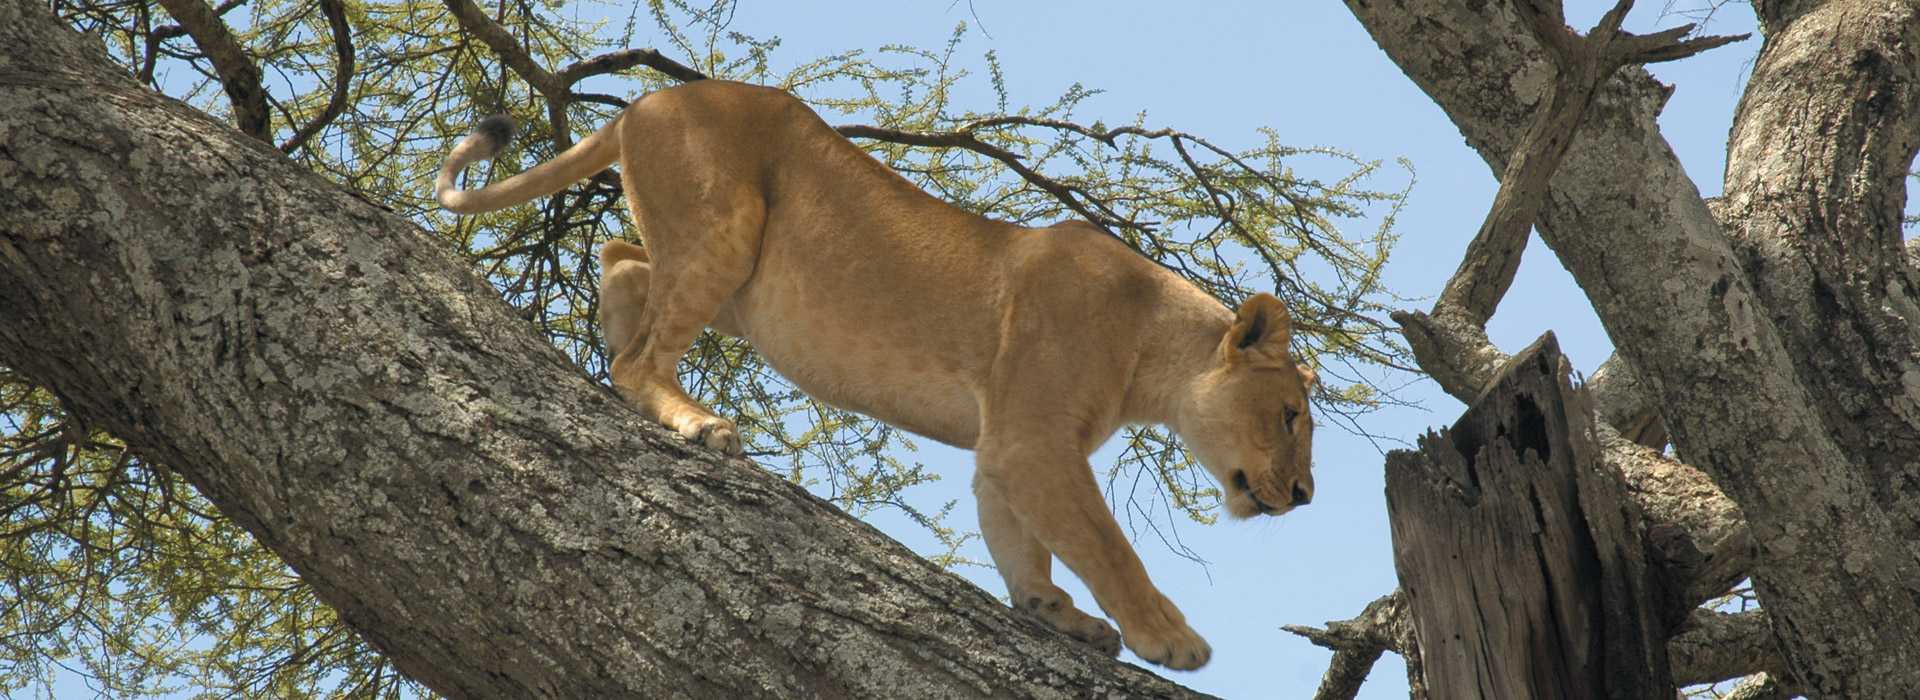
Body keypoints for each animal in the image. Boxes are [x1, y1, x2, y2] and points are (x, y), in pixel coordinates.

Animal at [436, 79, 1317, 670]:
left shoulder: (1006, 445)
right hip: (728, 227)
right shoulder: (1035, 439)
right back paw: (698, 419)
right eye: (1291, 416)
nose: (1306, 496)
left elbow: (1017, 540)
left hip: (739, 283)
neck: (1153, 346)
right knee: (638, 356)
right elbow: (1105, 545)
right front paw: (1169, 637)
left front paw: (1052, 612)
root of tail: (648, 99)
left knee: (622, 262)